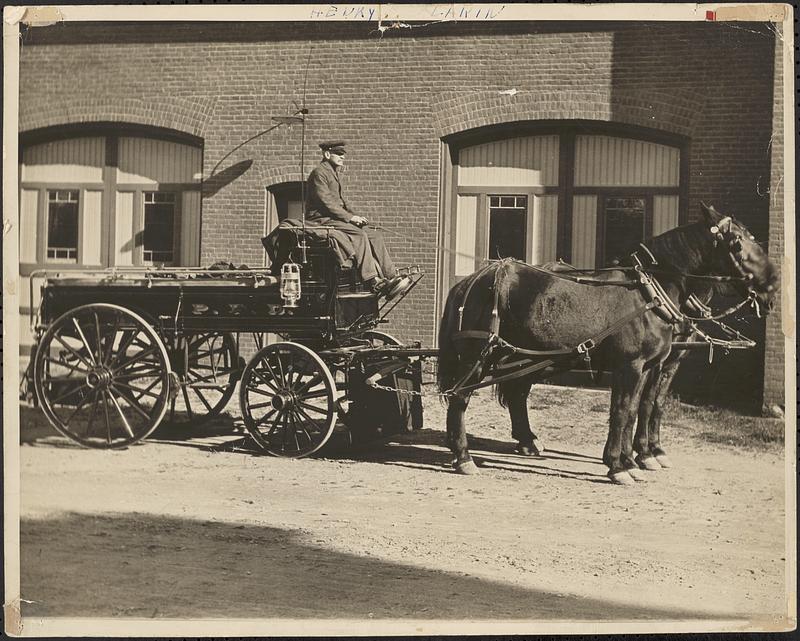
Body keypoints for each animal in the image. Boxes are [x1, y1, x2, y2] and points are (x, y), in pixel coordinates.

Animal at [440, 205, 780, 484]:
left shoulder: (652, 366)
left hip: (526, 356)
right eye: (737, 242)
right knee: (460, 399)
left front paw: (635, 459)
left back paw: (525, 442)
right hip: (476, 358)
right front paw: (621, 465)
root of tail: (472, 280)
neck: (648, 295)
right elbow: (624, 409)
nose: (774, 284)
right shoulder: (631, 366)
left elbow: (640, 408)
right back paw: (464, 457)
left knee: (516, 392)